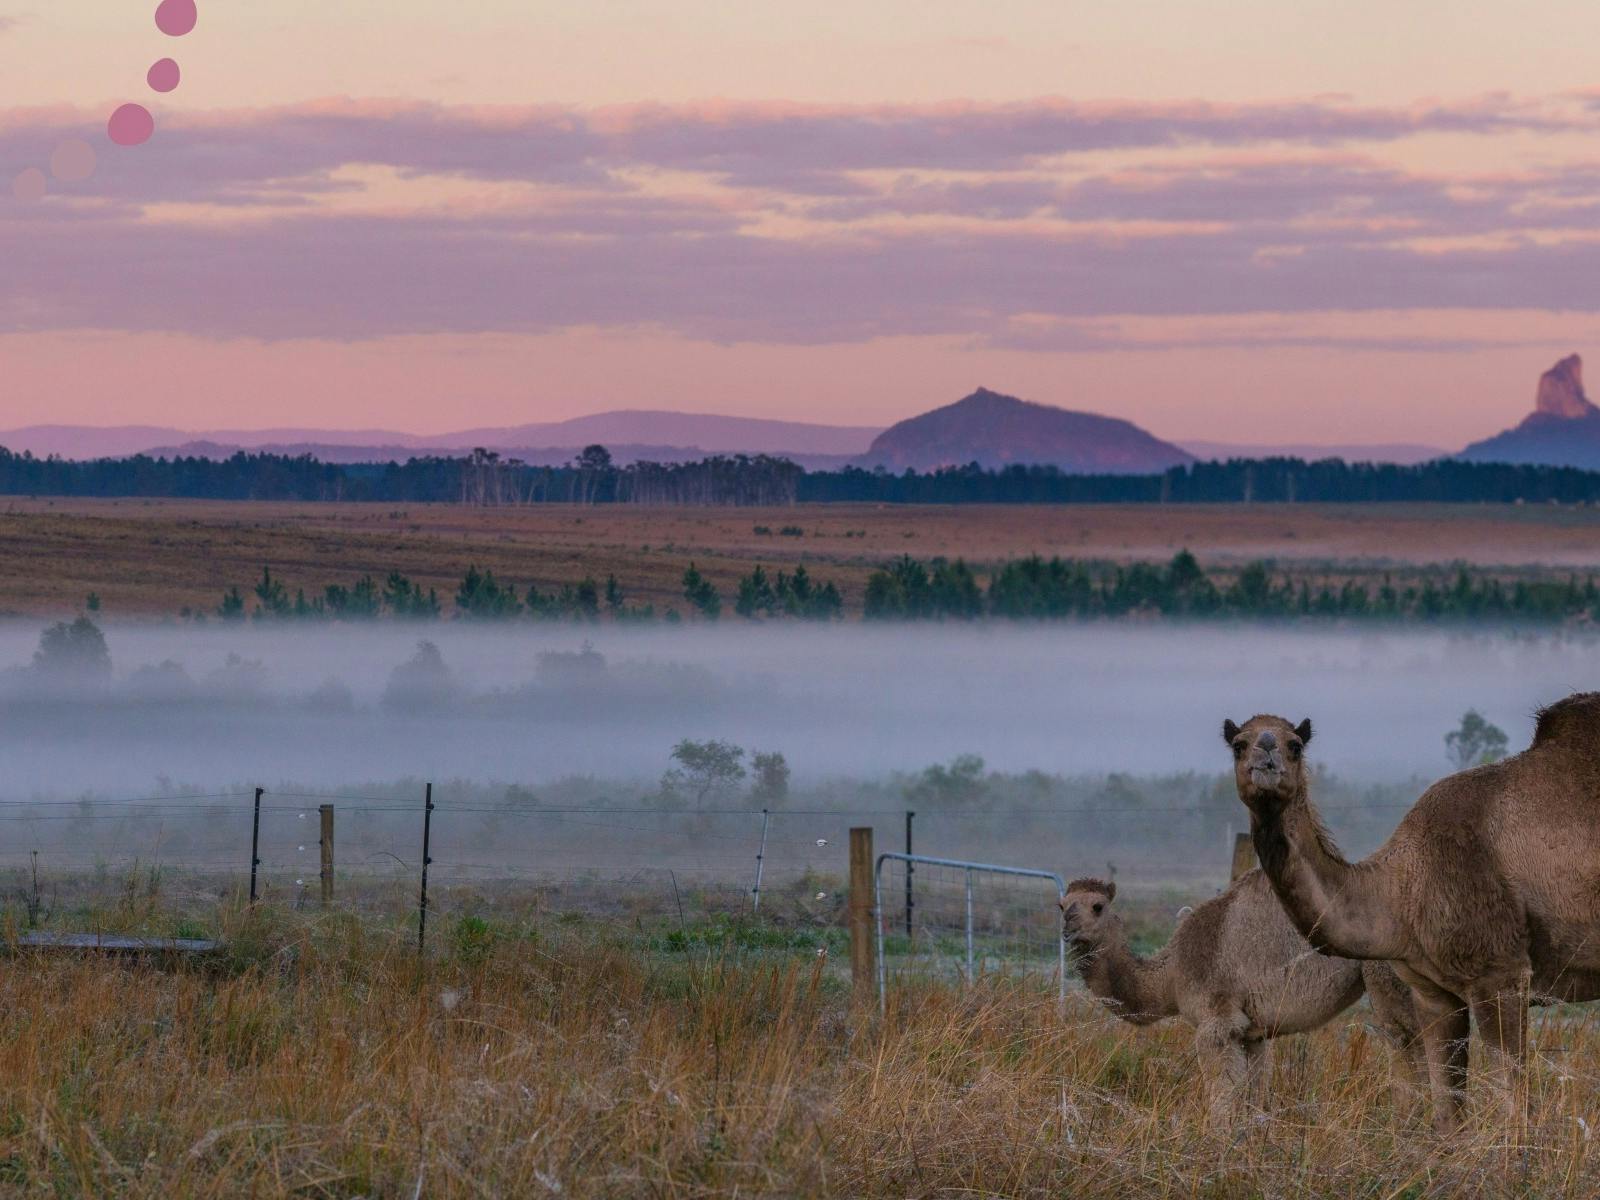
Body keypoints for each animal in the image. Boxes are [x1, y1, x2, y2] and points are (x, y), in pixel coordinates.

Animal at [1060, 872, 1420, 1119]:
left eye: (1097, 906)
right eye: (1061, 904)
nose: (1068, 927)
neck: (1172, 974)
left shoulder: (1217, 1024)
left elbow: (1223, 1098)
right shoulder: (1252, 1033)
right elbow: (1252, 1097)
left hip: (1389, 975)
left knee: (1405, 1042)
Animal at [1224, 697, 1600, 1133]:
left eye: (1295, 745)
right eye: (1238, 744)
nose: (1266, 755)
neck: (1402, 887)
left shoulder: (1500, 974)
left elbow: (1512, 1103)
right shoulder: (1432, 992)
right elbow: (1447, 1112)